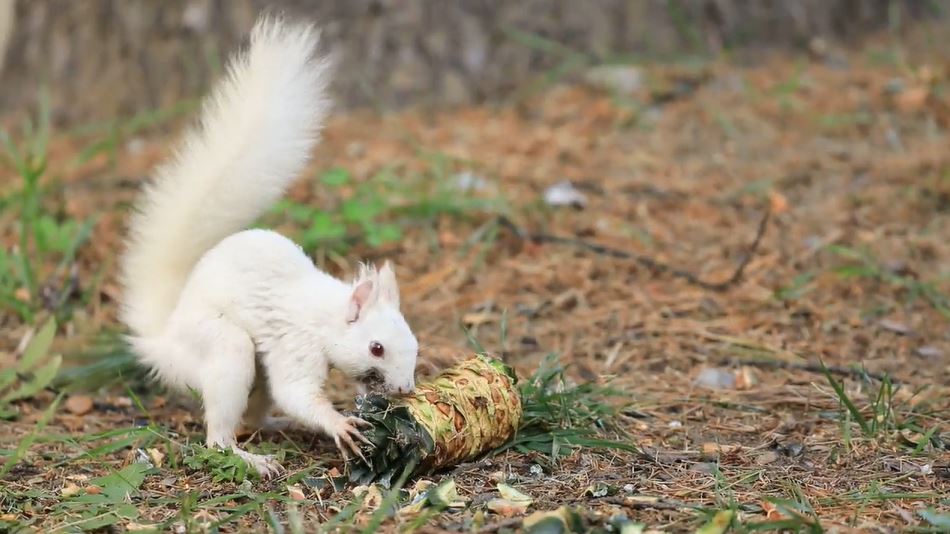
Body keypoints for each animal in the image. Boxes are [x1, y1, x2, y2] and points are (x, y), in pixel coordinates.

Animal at [117, 15, 418, 478]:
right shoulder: (297, 343)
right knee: (219, 435)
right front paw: (339, 424)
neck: (325, 315)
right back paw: (252, 459)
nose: (404, 388)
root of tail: (164, 340)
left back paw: (278, 426)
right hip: (224, 348)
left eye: (413, 342)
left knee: (256, 415)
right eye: (376, 348)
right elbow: (296, 390)